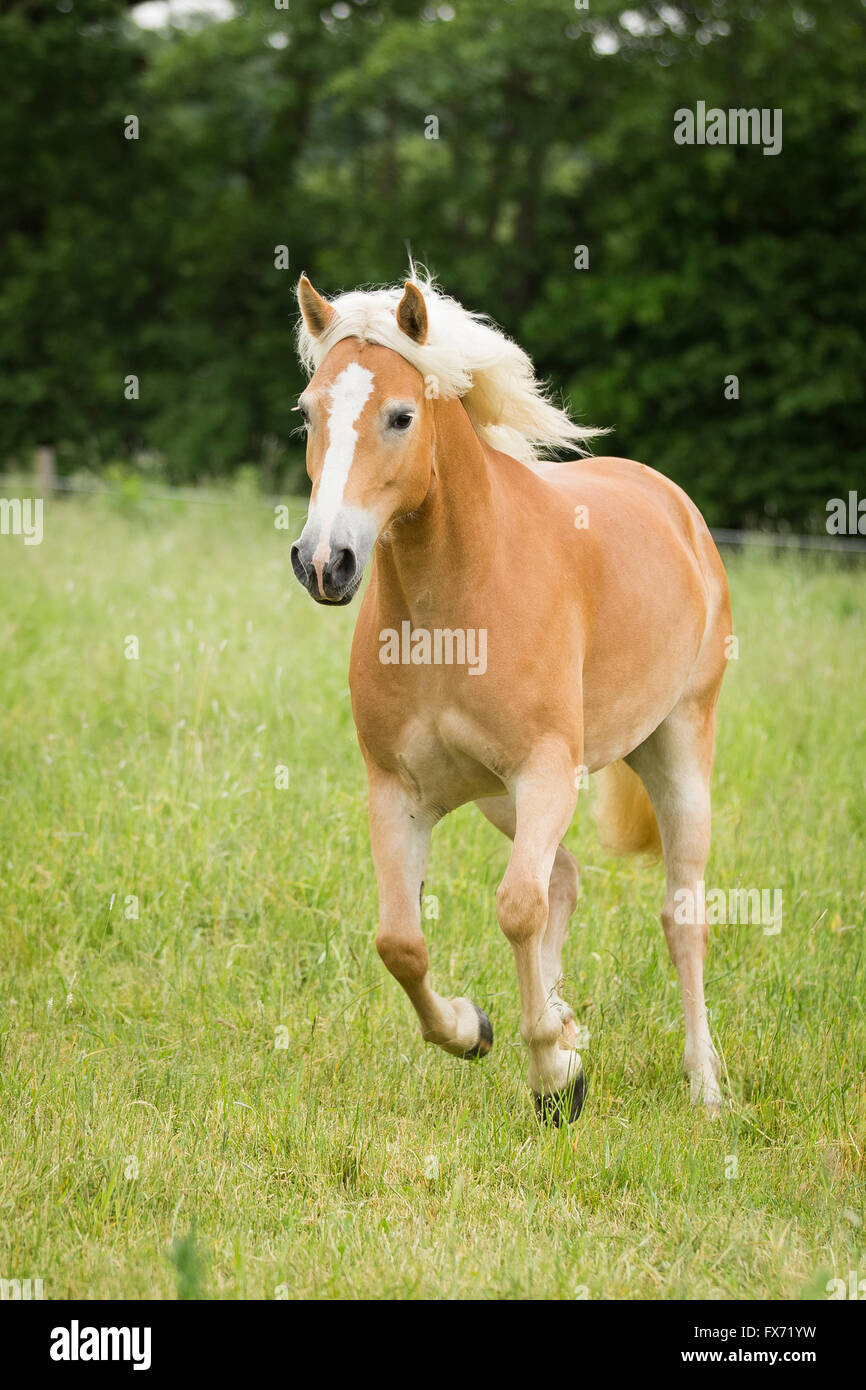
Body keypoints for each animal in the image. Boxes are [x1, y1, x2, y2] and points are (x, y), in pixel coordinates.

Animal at [291, 273, 733, 1128]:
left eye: (401, 415)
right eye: (308, 410)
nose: (325, 562)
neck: (453, 605)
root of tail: (676, 506)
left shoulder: (545, 771)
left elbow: (517, 909)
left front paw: (553, 1080)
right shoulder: (398, 791)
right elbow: (401, 942)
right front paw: (482, 1032)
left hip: (677, 749)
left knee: (680, 916)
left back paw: (705, 1087)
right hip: (501, 798)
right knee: (564, 879)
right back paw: (565, 1024)